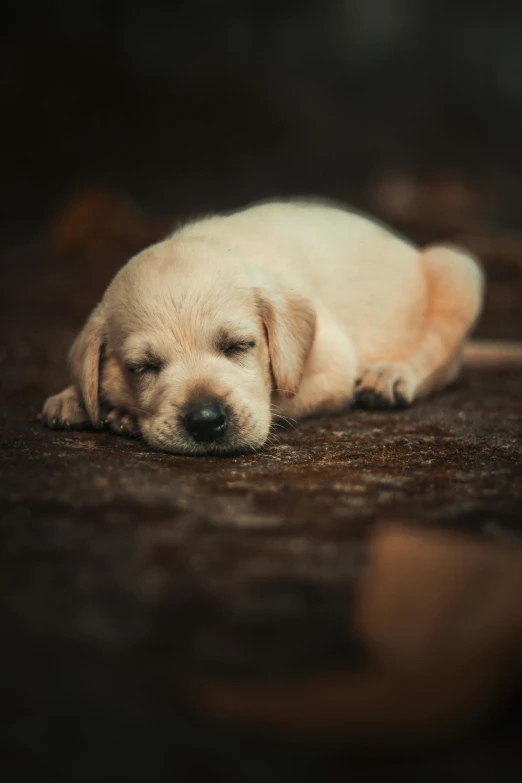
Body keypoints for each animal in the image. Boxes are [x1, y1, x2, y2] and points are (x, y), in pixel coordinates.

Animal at [40, 201, 516, 460]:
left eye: (239, 346)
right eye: (142, 367)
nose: (206, 422)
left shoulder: (332, 366)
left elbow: (278, 398)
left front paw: (120, 415)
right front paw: (75, 398)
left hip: (456, 268)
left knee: (437, 354)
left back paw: (392, 374)